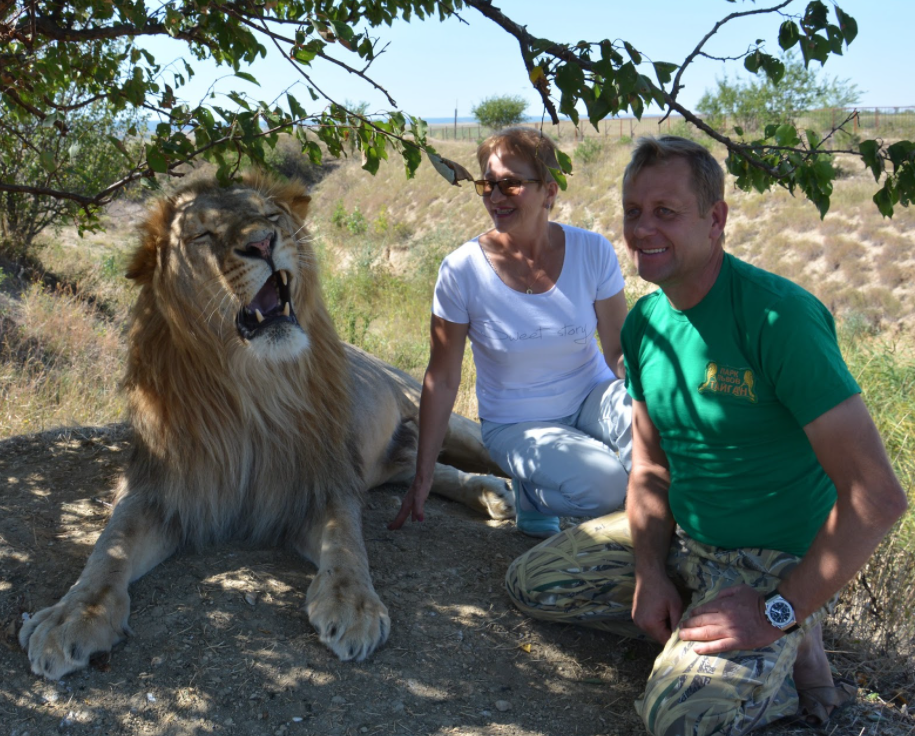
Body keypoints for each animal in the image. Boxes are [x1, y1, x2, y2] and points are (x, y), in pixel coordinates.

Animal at [19, 171, 516, 680]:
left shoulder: (319, 481)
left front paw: (354, 604)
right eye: (203, 235)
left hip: (434, 409)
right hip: (384, 462)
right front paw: (71, 616)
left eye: (271, 216)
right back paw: (490, 493)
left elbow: (347, 542)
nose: (261, 243)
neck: (252, 390)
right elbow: (109, 548)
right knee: (420, 470)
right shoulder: (160, 487)